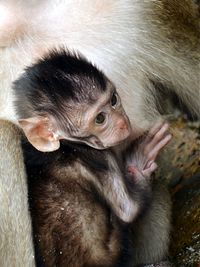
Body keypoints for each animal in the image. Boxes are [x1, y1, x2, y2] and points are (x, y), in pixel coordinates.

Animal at [13, 49, 171, 266]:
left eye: (113, 100)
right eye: (100, 119)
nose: (123, 123)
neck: (67, 145)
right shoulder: (102, 158)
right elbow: (128, 210)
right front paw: (139, 157)